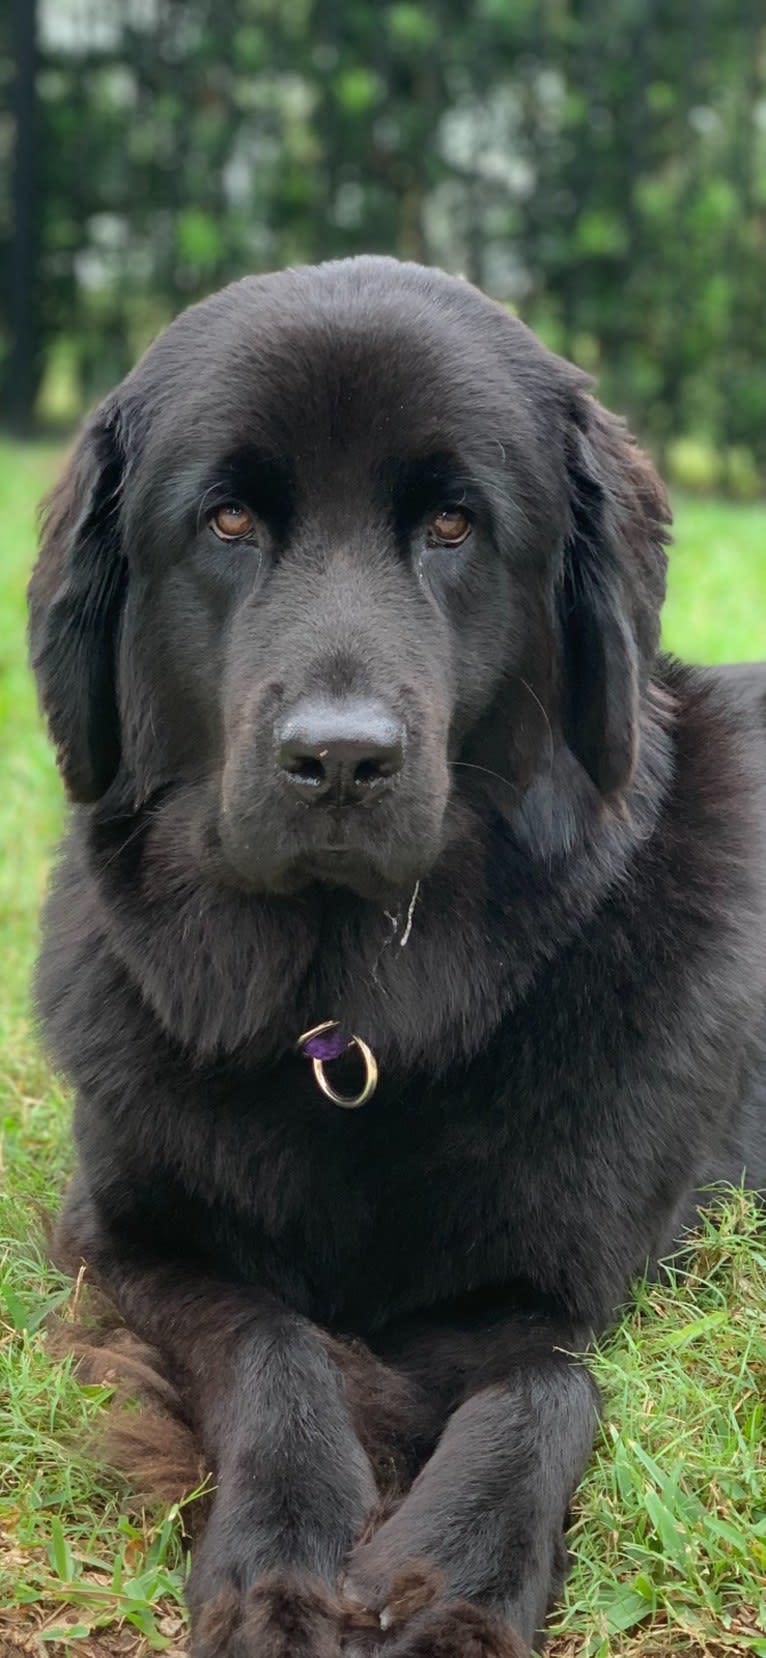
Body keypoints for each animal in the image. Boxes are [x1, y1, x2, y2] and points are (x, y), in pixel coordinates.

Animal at [28, 258, 766, 1658]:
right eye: (225, 520)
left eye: (453, 526)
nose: (338, 758)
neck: (347, 1009)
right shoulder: (129, 1238)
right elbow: (269, 1338)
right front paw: (282, 1557)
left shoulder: (555, 1289)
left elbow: (543, 1387)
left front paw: (453, 1587)